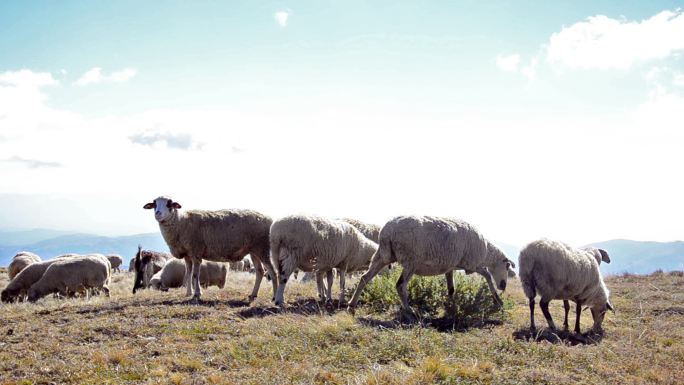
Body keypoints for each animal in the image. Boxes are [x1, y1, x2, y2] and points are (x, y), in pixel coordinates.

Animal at [143, 195, 276, 304]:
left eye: (169, 204)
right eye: (154, 204)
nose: (158, 213)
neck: (181, 223)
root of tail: (270, 220)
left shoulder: (196, 251)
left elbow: (195, 274)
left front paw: (197, 295)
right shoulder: (187, 254)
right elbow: (188, 273)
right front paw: (188, 293)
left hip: (263, 248)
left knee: (272, 272)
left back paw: (275, 298)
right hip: (255, 251)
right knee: (260, 272)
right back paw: (253, 295)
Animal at [348, 214, 512, 316]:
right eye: (507, 266)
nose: (503, 286)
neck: (487, 253)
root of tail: (387, 231)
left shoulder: (450, 267)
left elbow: (451, 288)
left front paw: (450, 306)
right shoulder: (472, 264)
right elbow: (488, 276)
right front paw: (498, 300)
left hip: (382, 256)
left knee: (364, 278)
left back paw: (351, 305)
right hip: (411, 261)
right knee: (400, 285)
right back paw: (409, 310)